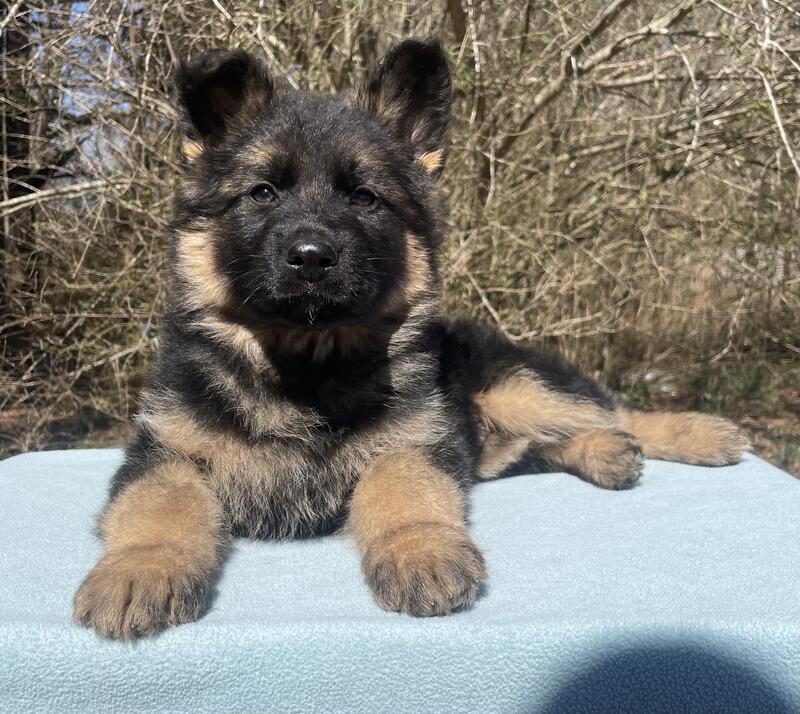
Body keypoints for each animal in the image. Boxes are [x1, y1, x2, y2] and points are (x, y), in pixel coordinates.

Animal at [73, 38, 750, 639]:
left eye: (364, 197)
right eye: (262, 192)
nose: (312, 257)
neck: (306, 365)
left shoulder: (411, 442)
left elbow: (404, 492)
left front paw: (420, 551)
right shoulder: (165, 451)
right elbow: (157, 508)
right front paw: (138, 572)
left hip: (513, 389)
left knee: (611, 408)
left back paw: (694, 433)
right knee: (553, 442)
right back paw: (606, 454)